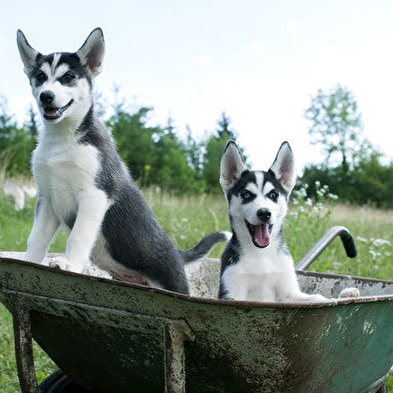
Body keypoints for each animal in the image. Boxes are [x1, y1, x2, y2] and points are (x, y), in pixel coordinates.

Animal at [17, 28, 227, 294]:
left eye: (68, 77)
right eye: (41, 76)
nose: (46, 96)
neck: (63, 139)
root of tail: (178, 254)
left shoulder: (95, 195)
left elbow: (78, 236)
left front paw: (69, 264)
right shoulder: (47, 199)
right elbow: (35, 239)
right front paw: (28, 264)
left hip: (173, 283)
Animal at [217, 140, 358, 300]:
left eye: (273, 194)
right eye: (246, 195)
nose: (264, 213)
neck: (261, 254)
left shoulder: (290, 293)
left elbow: (318, 298)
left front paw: (343, 295)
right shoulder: (231, 294)